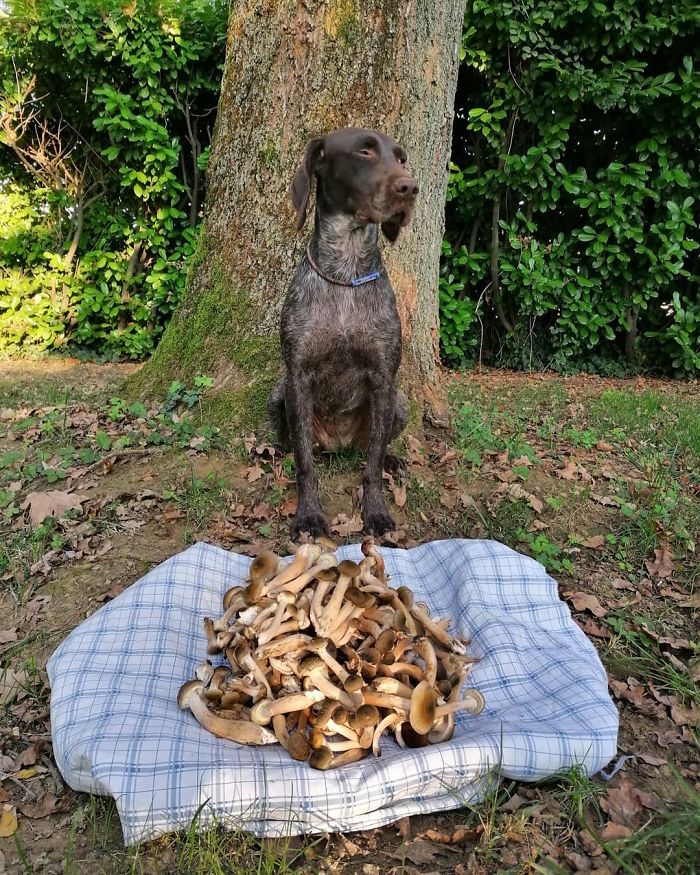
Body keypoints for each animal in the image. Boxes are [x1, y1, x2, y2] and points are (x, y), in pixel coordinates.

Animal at [268, 128, 418, 540]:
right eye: (363, 152)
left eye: (401, 158)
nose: (410, 188)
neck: (345, 274)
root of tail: (340, 444)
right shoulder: (297, 375)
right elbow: (305, 462)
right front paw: (308, 515)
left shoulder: (384, 377)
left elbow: (373, 465)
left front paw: (376, 512)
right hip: (278, 393)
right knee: (296, 443)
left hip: (399, 402)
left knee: (372, 449)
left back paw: (392, 459)